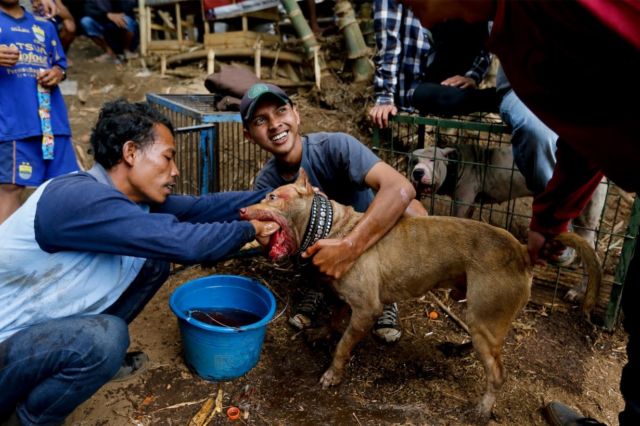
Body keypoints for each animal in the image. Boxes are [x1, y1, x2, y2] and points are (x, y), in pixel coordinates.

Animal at [239, 170, 600, 420]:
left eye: (273, 197)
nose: (242, 211)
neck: (333, 228)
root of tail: (522, 251)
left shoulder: (367, 309)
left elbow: (343, 345)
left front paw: (332, 373)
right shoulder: (347, 298)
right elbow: (336, 315)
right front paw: (321, 331)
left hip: (484, 315)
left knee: (497, 372)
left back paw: (482, 408)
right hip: (480, 315)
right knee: (487, 347)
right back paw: (459, 349)